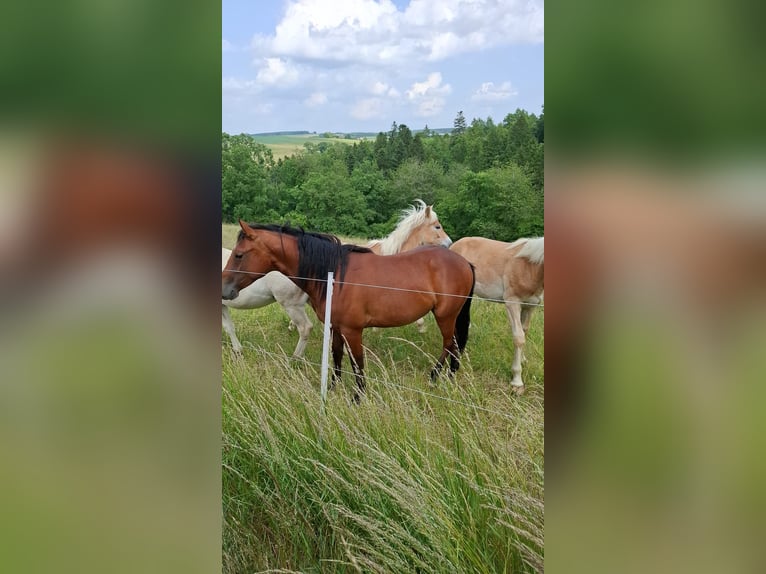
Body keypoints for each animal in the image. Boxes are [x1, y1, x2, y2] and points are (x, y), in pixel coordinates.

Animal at [222, 221, 475, 401]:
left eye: (239, 255)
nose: (225, 290)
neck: (334, 275)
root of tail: (464, 262)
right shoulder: (336, 327)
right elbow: (336, 357)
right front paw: (333, 388)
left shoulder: (353, 330)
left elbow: (357, 363)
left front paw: (358, 396)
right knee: (454, 346)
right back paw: (450, 376)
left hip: (445, 315)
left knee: (449, 344)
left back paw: (435, 377)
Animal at [450, 236, 544, 394]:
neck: (530, 267)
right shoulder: (512, 302)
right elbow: (519, 337)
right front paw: (517, 382)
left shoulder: (530, 306)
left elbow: (524, 331)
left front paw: (523, 360)